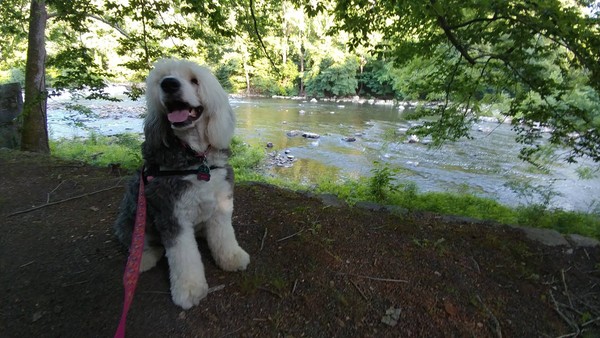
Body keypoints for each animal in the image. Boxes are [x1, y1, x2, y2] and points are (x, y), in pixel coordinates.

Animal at [113, 58, 250, 308]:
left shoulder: (221, 204)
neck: (196, 159)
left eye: (194, 80)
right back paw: (144, 259)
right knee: (137, 242)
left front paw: (232, 258)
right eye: (161, 79)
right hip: (131, 216)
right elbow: (183, 256)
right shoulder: (172, 214)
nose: (168, 84)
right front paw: (189, 289)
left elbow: (224, 236)